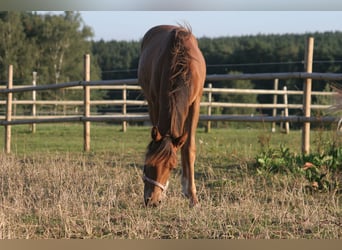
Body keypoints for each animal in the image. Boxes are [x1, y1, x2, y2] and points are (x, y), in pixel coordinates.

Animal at [138, 24, 206, 207]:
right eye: (147, 164)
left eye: (171, 167)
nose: (152, 201)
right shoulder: (155, 100)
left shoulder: (195, 103)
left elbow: (188, 148)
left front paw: (192, 196)